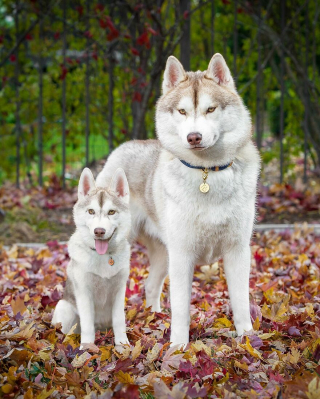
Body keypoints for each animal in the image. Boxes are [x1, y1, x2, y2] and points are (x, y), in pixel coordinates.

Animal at [52, 166, 131, 346]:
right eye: (91, 211)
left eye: (111, 212)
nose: (99, 231)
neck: (104, 256)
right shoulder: (84, 293)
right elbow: (87, 325)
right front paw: (87, 348)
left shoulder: (119, 291)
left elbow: (119, 321)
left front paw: (122, 346)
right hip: (64, 308)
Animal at [95, 53, 260, 346]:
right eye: (182, 112)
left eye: (210, 109)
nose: (194, 137)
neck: (207, 173)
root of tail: (123, 147)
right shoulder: (182, 255)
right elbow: (182, 308)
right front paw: (179, 346)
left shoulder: (237, 250)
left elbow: (241, 302)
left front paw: (248, 341)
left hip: (164, 254)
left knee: (150, 285)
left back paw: (154, 316)